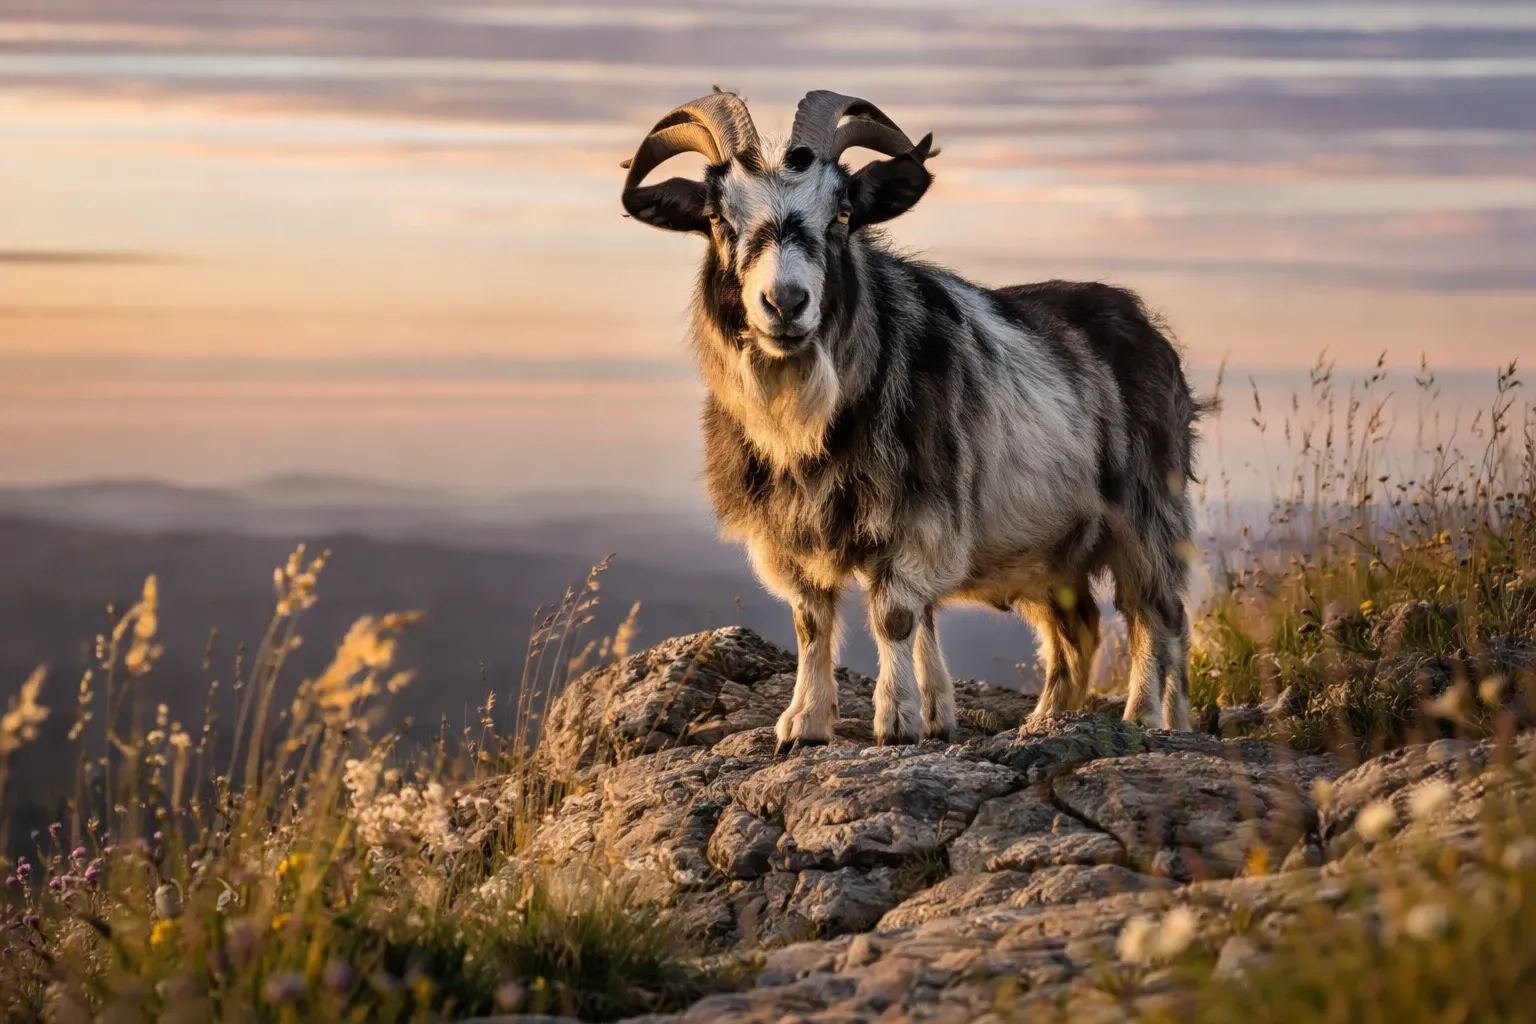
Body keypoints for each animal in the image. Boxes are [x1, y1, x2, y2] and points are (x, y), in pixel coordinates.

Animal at [620, 89, 1207, 748]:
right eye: (717, 220)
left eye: (842, 214)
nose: (786, 303)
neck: (805, 423)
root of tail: (1145, 326)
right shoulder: (789, 534)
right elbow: (812, 621)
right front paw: (807, 723)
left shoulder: (914, 516)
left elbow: (896, 616)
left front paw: (897, 719)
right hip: (1048, 549)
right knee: (1079, 625)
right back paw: (1047, 719)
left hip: (1146, 512)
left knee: (1158, 615)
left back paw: (1151, 718)